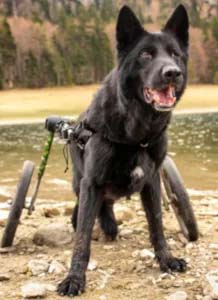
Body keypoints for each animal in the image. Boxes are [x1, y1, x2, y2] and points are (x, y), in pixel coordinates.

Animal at [58, 4, 189, 298]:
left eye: (175, 54)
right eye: (145, 54)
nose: (172, 72)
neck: (136, 135)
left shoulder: (152, 182)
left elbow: (157, 226)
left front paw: (166, 260)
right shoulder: (92, 184)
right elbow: (82, 239)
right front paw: (74, 278)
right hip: (80, 185)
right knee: (81, 215)